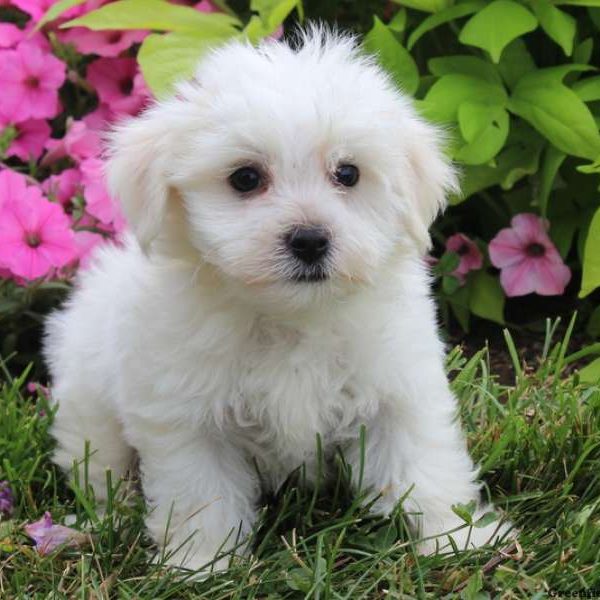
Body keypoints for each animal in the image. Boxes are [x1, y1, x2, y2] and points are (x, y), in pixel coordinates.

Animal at [44, 28, 508, 572]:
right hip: (87, 402)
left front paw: (457, 537)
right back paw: (101, 520)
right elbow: (202, 494)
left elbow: (422, 465)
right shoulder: (186, 417)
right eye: (245, 178)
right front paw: (201, 564)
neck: (292, 316)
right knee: (98, 463)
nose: (309, 239)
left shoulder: (397, 388)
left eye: (348, 174)